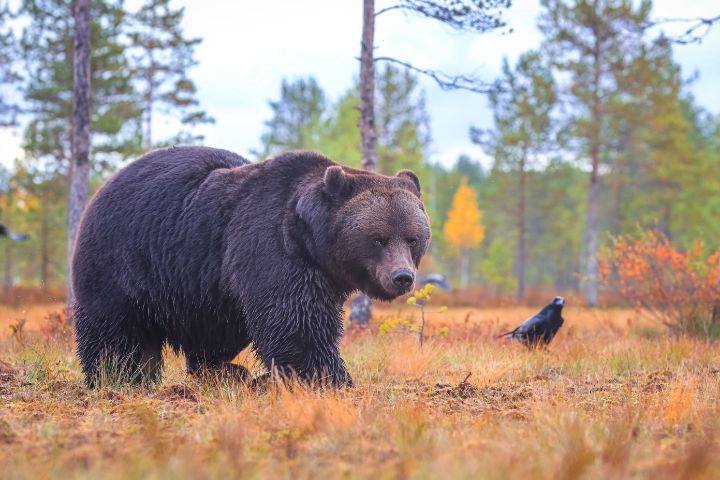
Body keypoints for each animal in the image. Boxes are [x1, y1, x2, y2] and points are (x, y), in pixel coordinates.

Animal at [74, 146, 430, 386]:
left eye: (413, 238)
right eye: (378, 238)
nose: (402, 277)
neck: (310, 240)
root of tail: (105, 185)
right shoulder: (270, 247)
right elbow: (297, 323)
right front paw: (331, 378)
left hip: (203, 290)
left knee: (218, 331)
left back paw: (226, 370)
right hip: (122, 258)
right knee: (115, 327)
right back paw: (119, 375)